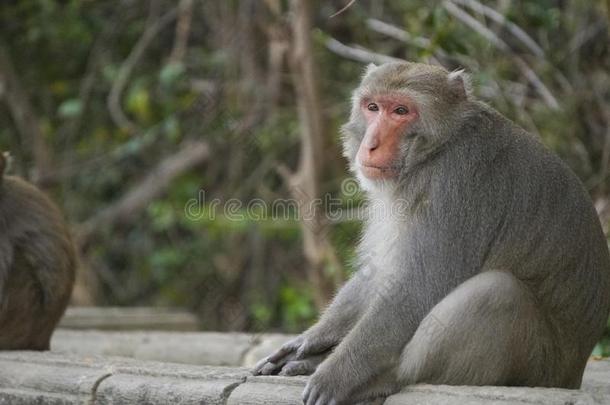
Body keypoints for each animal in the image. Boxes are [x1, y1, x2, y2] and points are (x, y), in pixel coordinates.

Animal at [254, 61, 608, 402]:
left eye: (401, 111)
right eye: (372, 107)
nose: (371, 145)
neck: (437, 148)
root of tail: (573, 376)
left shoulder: (457, 182)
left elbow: (418, 286)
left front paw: (336, 374)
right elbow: (382, 272)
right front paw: (310, 340)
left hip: (541, 366)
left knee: (496, 292)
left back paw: (383, 379)